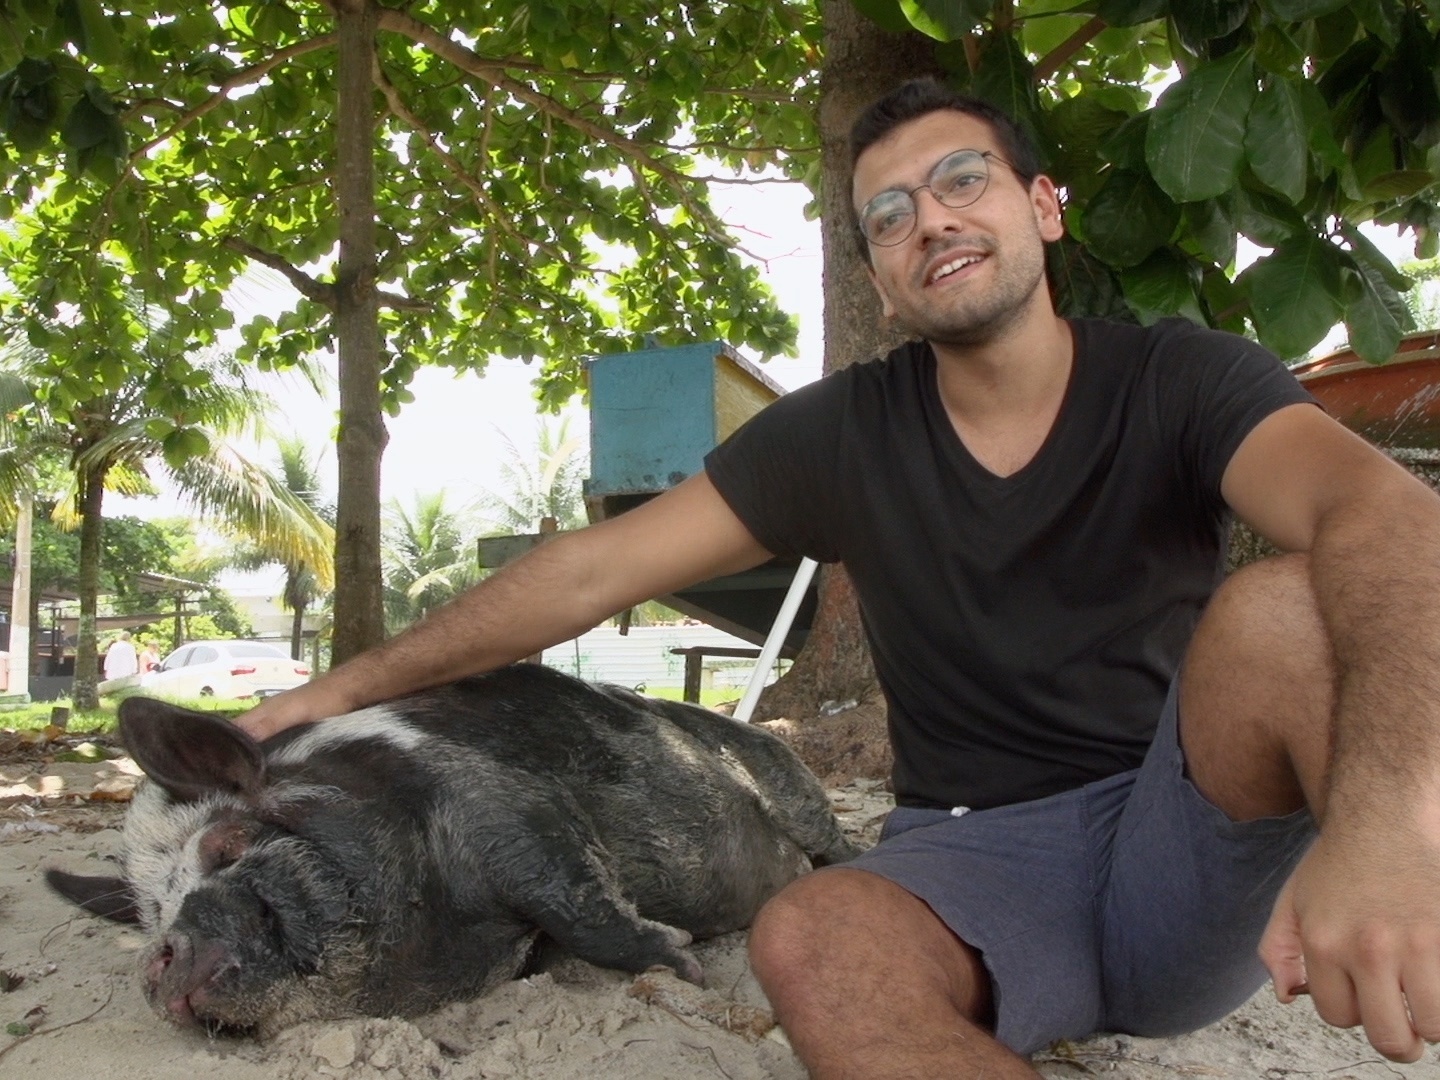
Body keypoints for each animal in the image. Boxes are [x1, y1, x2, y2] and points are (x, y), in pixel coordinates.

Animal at [45, 668, 858, 1042]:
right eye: (152, 914)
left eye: (227, 844)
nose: (161, 957)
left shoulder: (507, 805)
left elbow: (573, 896)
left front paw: (683, 963)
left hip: (789, 780)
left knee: (829, 838)